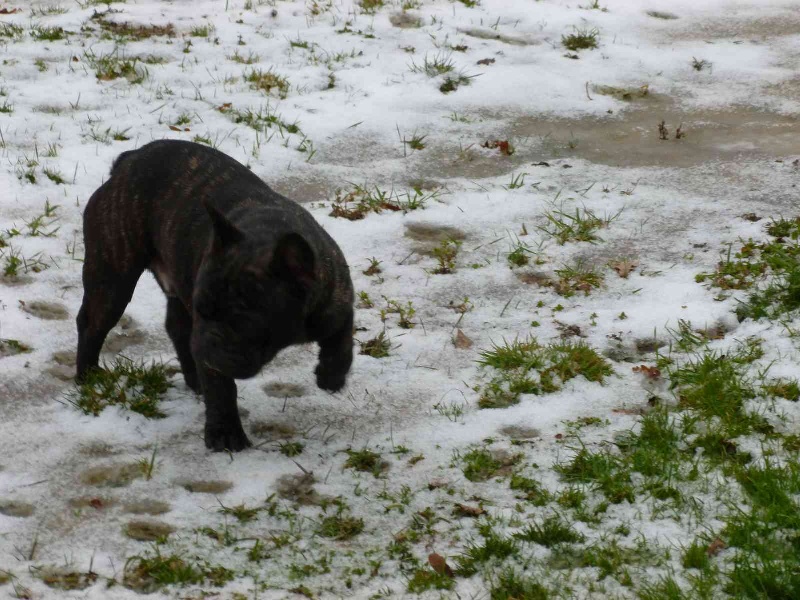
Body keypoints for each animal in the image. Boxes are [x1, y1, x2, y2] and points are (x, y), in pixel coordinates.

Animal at [76, 140, 354, 451]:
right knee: (93, 324)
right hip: (113, 278)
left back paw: (193, 378)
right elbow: (222, 390)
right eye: (203, 310)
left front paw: (332, 374)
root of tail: (127, 161)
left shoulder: (336, 302)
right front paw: (225, 434)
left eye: (246, 321)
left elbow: (342, 337)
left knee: (177, 327)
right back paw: (88, 376)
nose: (209, 341)